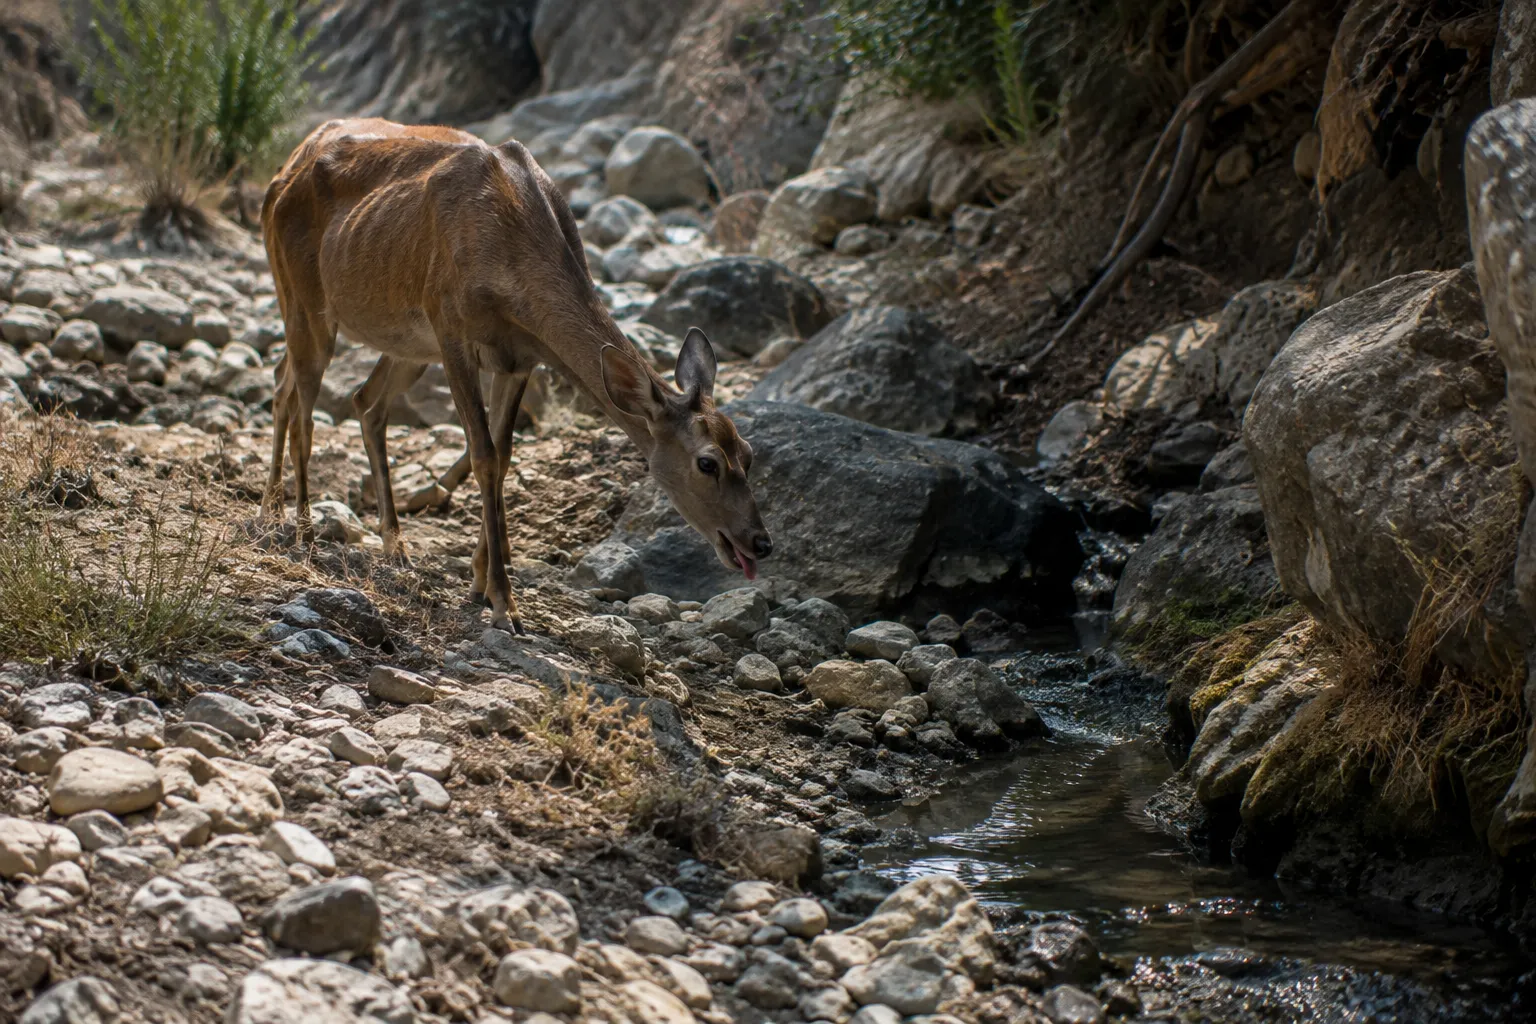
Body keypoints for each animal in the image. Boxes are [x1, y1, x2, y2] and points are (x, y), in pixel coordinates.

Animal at [259, 118, 772, 633]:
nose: (760, 542)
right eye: (707, 462)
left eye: (748, 454)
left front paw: (480, 581)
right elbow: (483, 454)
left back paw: (370, 539)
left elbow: (503, 456)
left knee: (350, 398)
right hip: (302, 295)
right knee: (304, 405)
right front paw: (505, 604)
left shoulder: (520, 356)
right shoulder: (451, 326)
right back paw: (300, 527)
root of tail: (281, 174)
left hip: (405, 344)